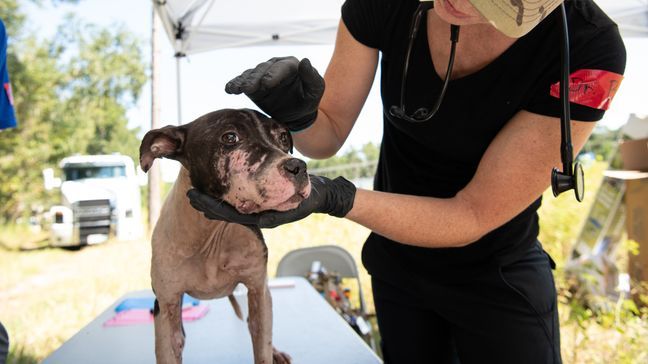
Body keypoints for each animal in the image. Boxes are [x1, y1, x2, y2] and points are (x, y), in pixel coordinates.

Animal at [139, 109, 312, 364]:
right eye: (230, 137)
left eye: (283, 137)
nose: (298, 166)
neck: (214, 233)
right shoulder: (166, 304)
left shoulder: (258, 290)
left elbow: (261, 345)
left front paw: (269, 352)